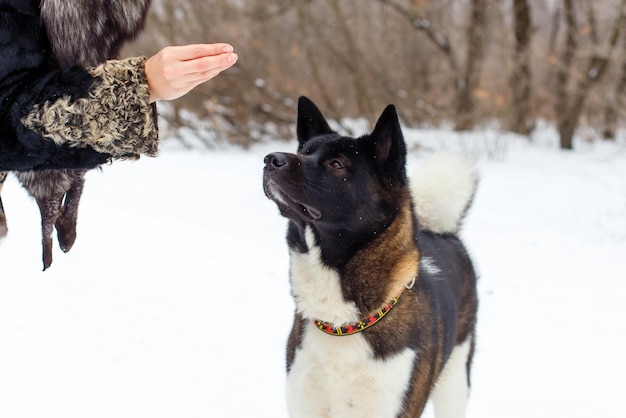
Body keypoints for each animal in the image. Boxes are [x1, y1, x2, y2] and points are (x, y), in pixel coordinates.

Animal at [260, 97, 476, 418]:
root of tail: (443, 231)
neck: (343, 324)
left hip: (455, 383)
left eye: (336, 164)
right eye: (305, 152)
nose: (270, 159)